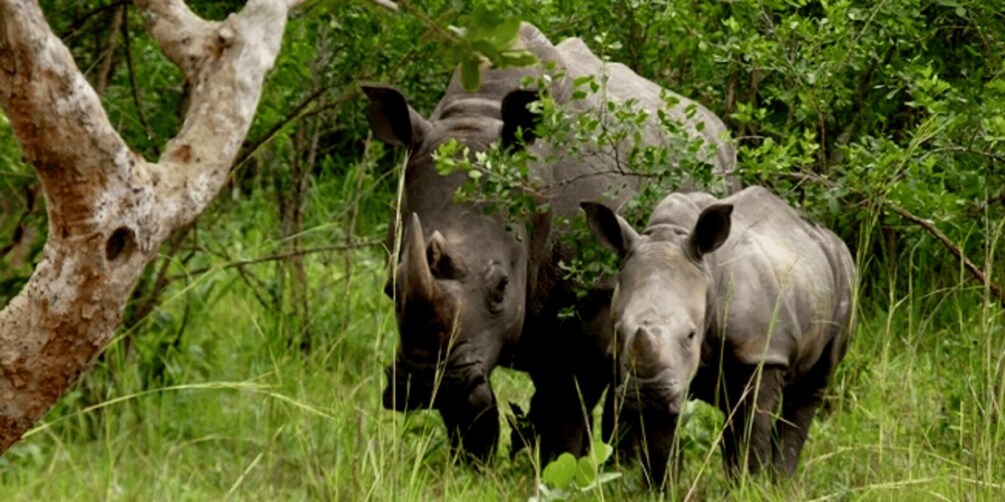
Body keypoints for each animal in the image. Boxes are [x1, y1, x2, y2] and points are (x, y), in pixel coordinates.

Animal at [364, 23, 736, 462]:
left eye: (501, 288)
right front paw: (470, 462)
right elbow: (471, 407)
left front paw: (562, 463)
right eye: (391, 289)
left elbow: (566, 402)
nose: (423, 385)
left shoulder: (592, 297)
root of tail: (718, 128)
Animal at [581, 186, 855, 486]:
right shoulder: (661, 376)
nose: (649, 392)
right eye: (619, 332)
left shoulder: (761, 350)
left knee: (812, 384)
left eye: (691, 335)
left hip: (844, 276)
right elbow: (661, 441)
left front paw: (753, 487)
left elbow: (753, 425)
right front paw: (663, 489)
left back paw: (779, 484)